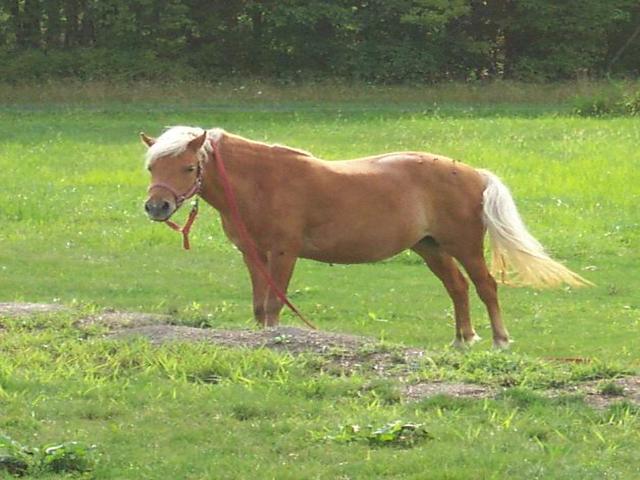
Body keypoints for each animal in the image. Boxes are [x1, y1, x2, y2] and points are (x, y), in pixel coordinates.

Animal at [141, 126, 591, 348]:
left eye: (187, 167)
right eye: (152, 166)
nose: (156, 207)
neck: (263, 182)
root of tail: (474, 172)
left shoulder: (283, 254)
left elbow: (273, 305)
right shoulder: (253, 255)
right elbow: (258, 307)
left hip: (463, 247)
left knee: (485, 287)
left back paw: (499, 340)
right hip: (430, 249)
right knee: (458, 289)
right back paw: (463, 339)